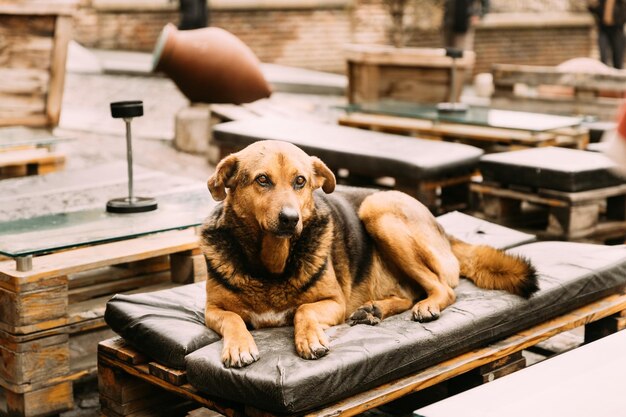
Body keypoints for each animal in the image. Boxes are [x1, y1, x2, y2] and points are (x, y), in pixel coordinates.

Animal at [200, 141, 536, 368]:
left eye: (300, 181)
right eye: (262, 180)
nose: (290, 219)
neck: (272, 262)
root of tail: (442, 227)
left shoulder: (334, 303)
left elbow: (303, 310)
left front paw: (310, 337)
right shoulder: (212, 310)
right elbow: (233, 318)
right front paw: (239, 346)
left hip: (378, 210)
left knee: (443, 289)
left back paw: (424, 306)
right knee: (409, 293)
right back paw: (373, 310)